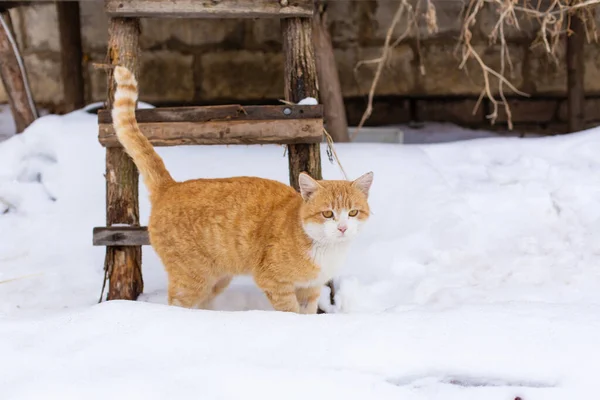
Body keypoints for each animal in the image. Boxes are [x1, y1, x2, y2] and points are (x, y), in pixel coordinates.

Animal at [110, 67, 372, 314]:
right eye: (328, 213)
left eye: (352, 212)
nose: (342, 227)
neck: (324, 247)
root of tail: (171, 186)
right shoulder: (275, 283)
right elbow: (290, 312)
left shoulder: (310, 288)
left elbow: (307, 312)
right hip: (192, 279)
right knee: (178, 305)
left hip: (217, 279)